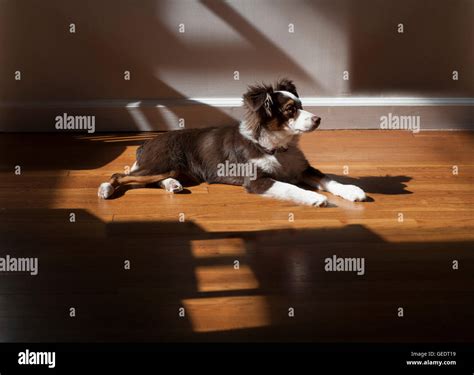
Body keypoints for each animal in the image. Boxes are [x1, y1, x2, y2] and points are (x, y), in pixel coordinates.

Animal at [97, 78, 366, 206]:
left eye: (302, 105)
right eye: (291, 109)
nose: (319, 119)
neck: (278, 148)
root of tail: (146, 143)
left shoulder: (303, 168)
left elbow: (329, 179)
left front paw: (353, 190)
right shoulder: (257, 181)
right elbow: (291, 187)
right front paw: (313, 198)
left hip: (167, 167)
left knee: (147, 179)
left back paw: (173, 185)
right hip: (162, 163)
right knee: (120, 176)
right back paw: (106, 189)